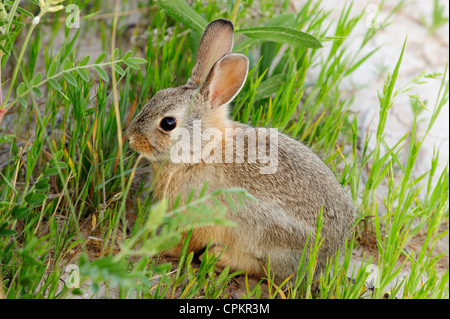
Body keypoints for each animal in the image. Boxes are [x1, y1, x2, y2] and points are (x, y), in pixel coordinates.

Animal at [126, 18, 356, 282]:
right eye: (158, 94)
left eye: (168, 123)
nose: (131, 138)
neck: (202, 152)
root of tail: (329, 256)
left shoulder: (199, 217)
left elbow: (186, 242)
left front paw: (159, 248)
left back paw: (218, 257)